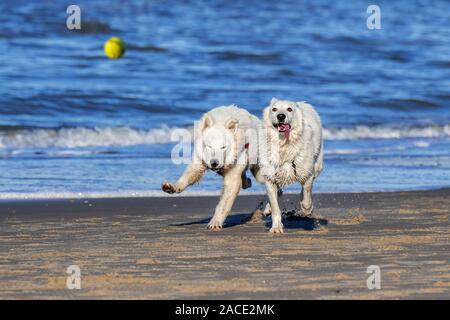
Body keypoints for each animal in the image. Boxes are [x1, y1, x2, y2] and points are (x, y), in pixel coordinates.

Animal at [256, 96, 324, 234]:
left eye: (289, 109)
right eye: (274, 109)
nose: (281, 116)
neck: (284, 143)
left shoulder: (306, 172)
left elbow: (306, 194)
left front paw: (306, 208)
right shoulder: (270, 176)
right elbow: (275, 206)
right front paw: (276, 227)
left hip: (317, 165)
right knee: (278, 193)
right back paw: (268, 208)